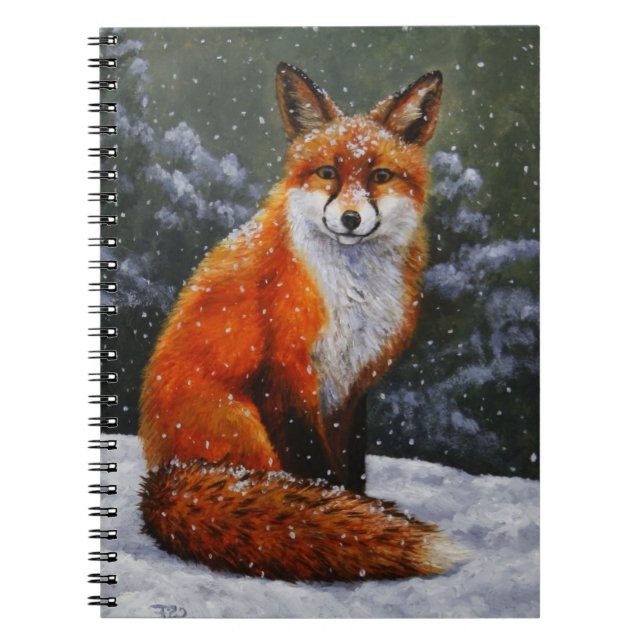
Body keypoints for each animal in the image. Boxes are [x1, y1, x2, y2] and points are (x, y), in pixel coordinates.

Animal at [138, 62, 468, 582]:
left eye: (380, 176)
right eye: (328, 173)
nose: (350, 218)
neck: (352, 293)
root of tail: (160, 475)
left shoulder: (352, 382)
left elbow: (350, 465)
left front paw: (358, 510)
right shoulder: (286, 372)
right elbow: (314, 467)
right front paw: (346, 520)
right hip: (242, 426)